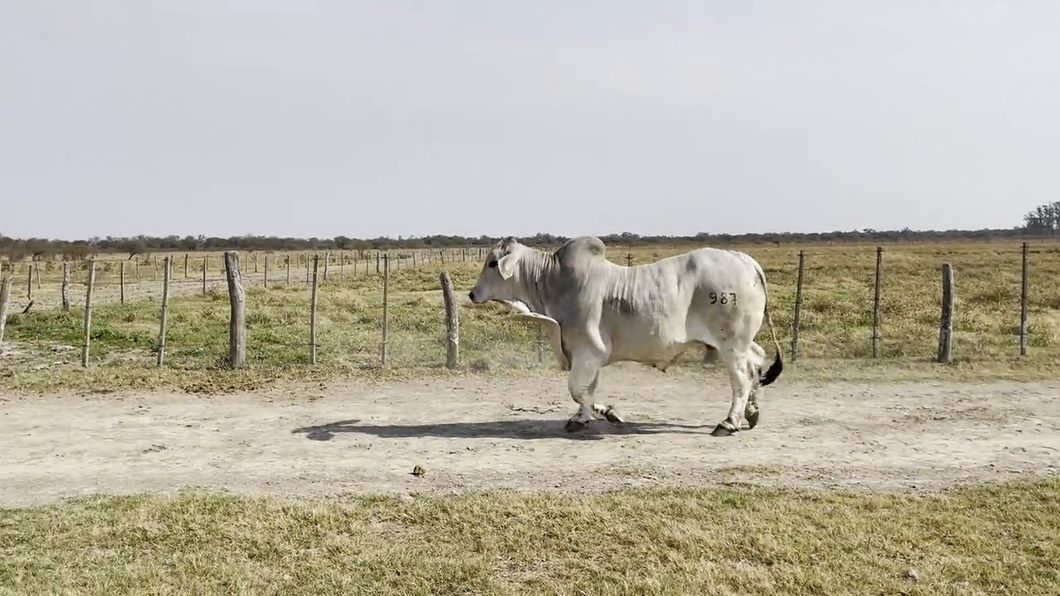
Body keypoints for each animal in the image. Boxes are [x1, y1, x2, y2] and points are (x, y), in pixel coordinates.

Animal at [468, 234, 784, 434]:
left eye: (493, 263)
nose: (472, 294)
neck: (551, 281)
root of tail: (745, 260)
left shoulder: (587, 352)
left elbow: (577, 390)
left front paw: (608, 413)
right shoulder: (586, 357)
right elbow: (586, 391)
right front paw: (583, 418)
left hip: (731, 345)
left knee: (741, 380)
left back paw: (729, 422)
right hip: (738, 344)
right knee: (757, 364)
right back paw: (751, 413)